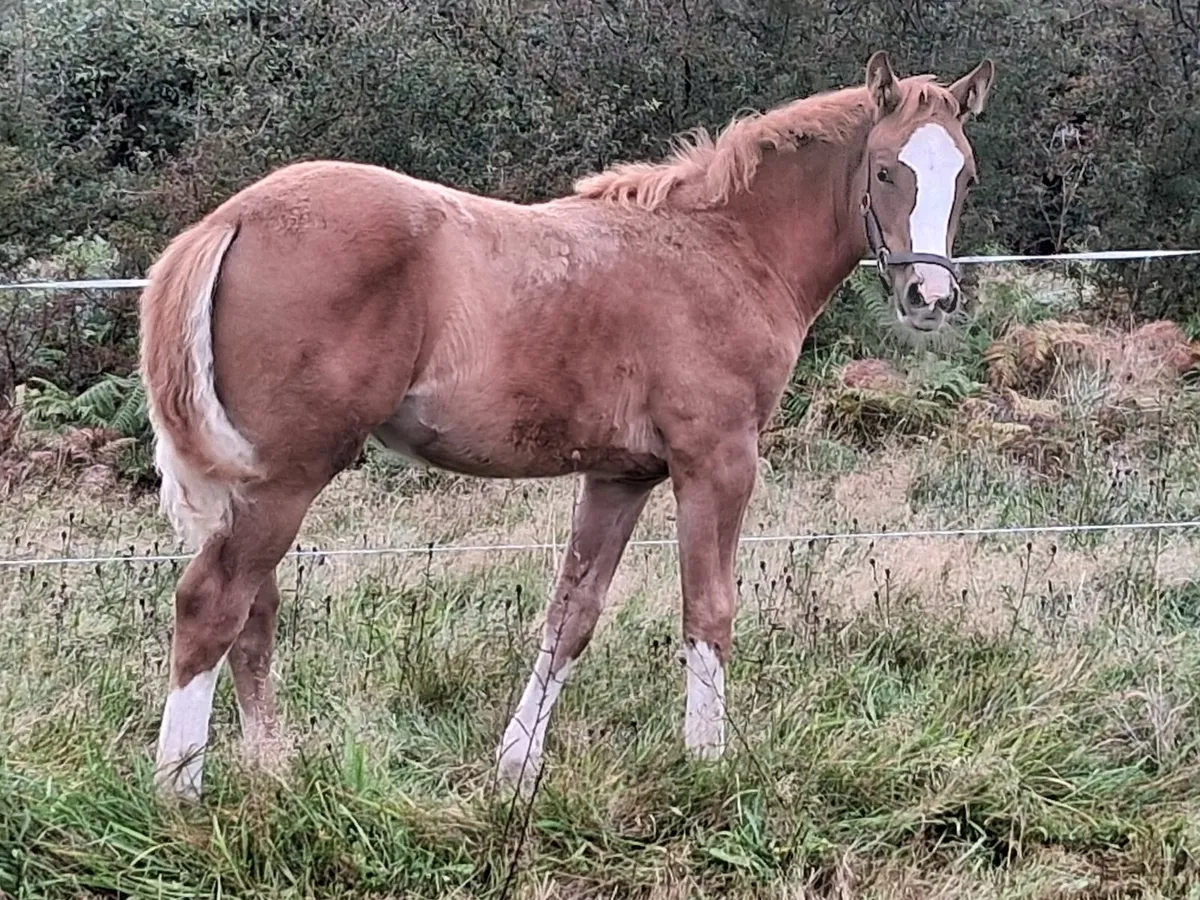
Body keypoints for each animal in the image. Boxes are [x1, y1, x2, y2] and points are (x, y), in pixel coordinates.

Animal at [140, 50, 995, 800]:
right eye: (885, 170)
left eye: (965, 176)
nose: (929, 296)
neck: (727, 248)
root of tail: (232, 218)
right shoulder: (717, 460)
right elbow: (708, 609)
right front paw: (708, 764)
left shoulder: (620, 475)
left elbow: (571, 615)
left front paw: (516, 768)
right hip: (287, 477)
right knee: (212, 604)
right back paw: (179, 793)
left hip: (261, 482)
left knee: (254, 613)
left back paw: (270, 772)